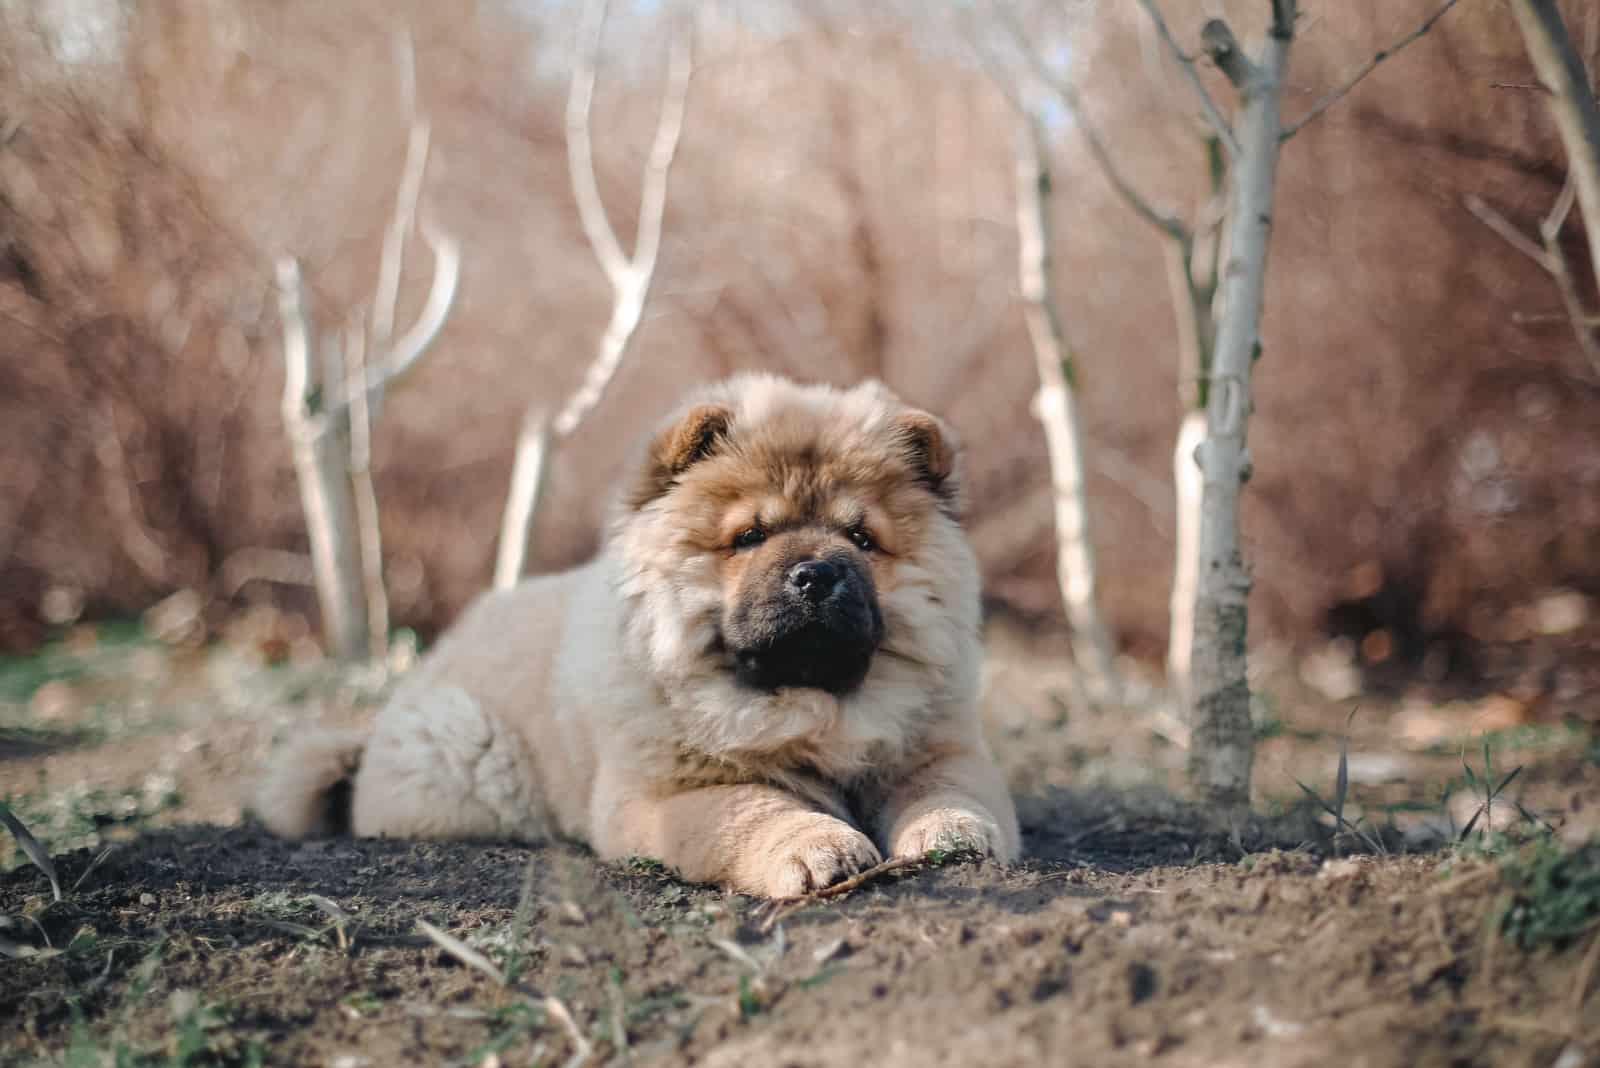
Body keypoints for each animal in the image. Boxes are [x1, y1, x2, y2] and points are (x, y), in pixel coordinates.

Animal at [254, 370, 1017, 895]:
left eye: (862, 539)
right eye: (749, 537)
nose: (817, 573)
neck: (806, 708)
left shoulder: (941, 746)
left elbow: (951, 788)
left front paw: (955, 835)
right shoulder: (667, 795)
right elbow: (753, 806)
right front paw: (818, 846)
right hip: (465, 757)